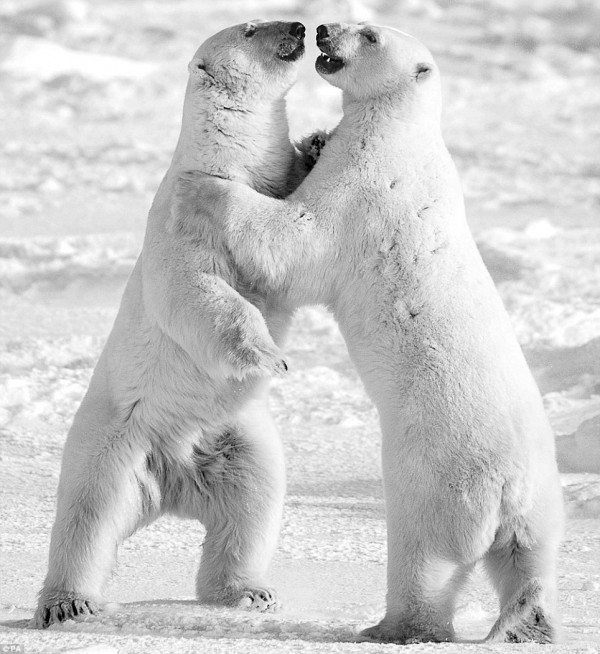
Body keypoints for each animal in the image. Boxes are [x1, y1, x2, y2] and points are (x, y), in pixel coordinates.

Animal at [32, 21, 318, 632]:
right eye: (252, 28)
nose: (300, 26)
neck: (230, 162)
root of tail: (171, 483)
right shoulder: (181, 219)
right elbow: (200, 294)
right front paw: (271, 355)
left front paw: (316, 145)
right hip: (113, 444)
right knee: (88, 518)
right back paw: (69, 603)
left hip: (236, 439)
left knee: (253, 503)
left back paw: (247, 591)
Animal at [175, 23, 568, 648]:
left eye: (370, 33)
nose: (320, 29)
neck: (402, 132)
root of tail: (510, 490)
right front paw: (312, 138)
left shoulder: (366, 186)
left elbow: (299, 237)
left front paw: (206, 189)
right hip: (543, 503)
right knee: (530, 558)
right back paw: (529, 625)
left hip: (436, 487)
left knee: (425, 560)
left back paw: (389, 626)